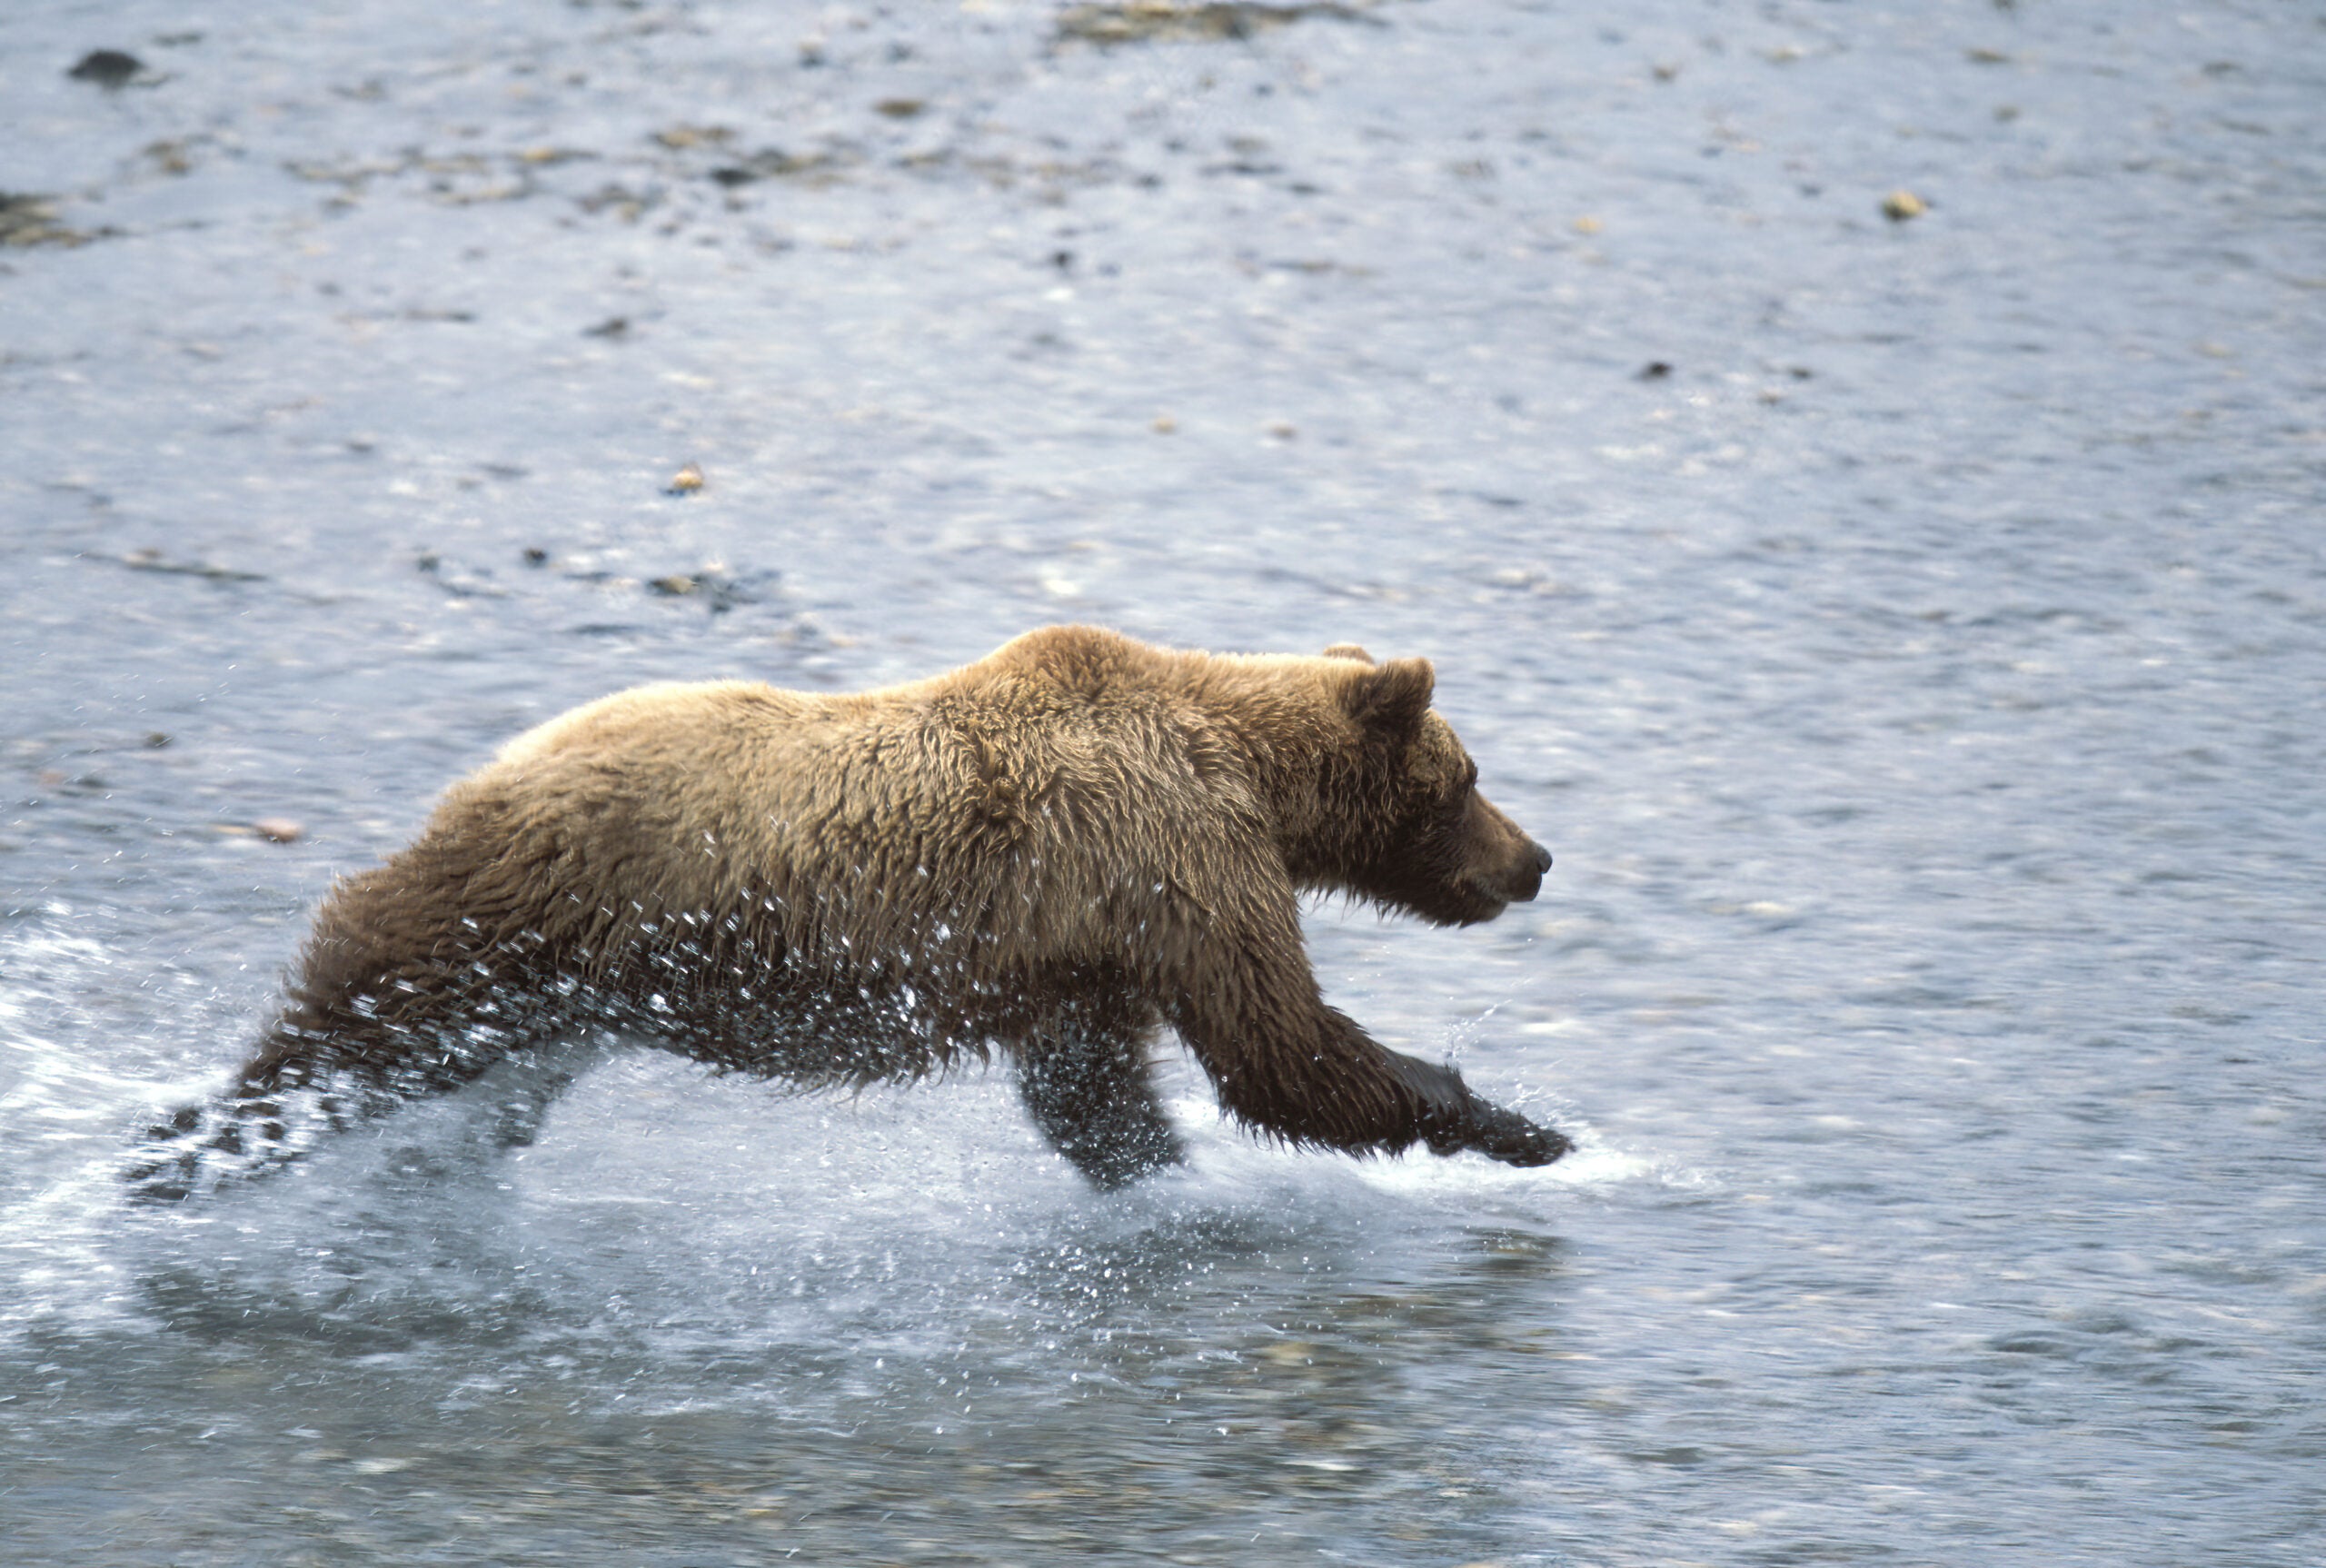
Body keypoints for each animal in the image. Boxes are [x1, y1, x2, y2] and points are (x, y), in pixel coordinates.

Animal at [127, 626, 1568, 1200]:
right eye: (1469, 776)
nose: (1538, 857)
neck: (1247, 775)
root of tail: (477, 776)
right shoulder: (1176, 862)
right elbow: (1282, 1047)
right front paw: (1529, 1125)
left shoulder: (1090, 947)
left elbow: (1096, 1091)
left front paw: (1161, 1176)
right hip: (508, 916)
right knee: (345, 1034)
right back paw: (172, 1153)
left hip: (552, 986)